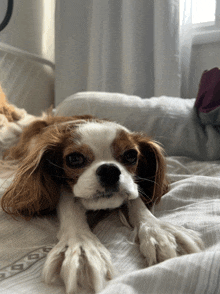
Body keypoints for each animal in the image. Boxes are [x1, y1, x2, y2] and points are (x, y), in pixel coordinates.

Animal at [0, 104, 203, 292]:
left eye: (131, 155)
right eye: (74, 159)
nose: (109, 170)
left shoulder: (132, 186)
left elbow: (135, 198)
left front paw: (156, 231)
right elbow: (69, 202)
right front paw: (81, 245)